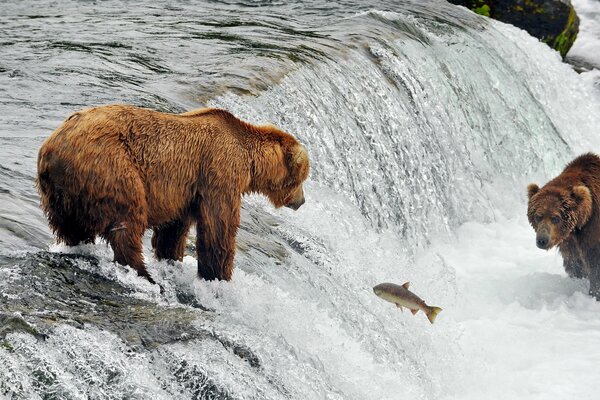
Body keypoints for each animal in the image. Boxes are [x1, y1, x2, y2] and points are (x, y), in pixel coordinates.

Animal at [37, 104, 310, 282]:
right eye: (302, 178)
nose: (302, 201)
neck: (249, 161)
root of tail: (51, 147)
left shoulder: (186, 191)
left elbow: (173, 230)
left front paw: (171, 257)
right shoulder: (219, 172)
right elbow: (218, 227)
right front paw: (218, 275)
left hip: (61, 192)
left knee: (70, 228)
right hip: (111, 166)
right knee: (127, 221)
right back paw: (143, 273)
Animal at [528, 153, 600, 300]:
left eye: (555, 218)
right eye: (538, 216)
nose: (542, 240)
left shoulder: (593, 229)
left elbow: (595, 263)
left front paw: (595, 293)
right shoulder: (568, 241)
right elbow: (574, 263)